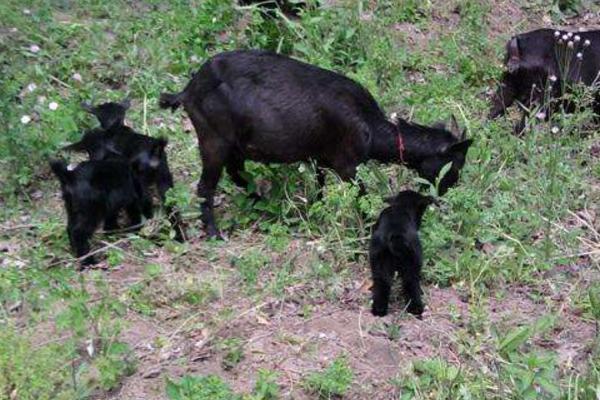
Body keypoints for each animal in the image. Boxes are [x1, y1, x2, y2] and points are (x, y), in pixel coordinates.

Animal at [63, 101, 185, 242]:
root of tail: (155, 150)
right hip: (164, 179)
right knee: (172, 204)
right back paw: (179, 236)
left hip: (141, 181)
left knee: (146, 203)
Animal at [161, 50, 474, 238]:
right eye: (455, 165)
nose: (444, 196)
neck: (371, 126)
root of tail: (188, 90)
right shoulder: (348, 164)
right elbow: (361, 195)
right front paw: (368, 228)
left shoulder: (318, 159)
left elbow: (320, 187)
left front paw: (316, 212)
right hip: (213, 137)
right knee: (205, 186)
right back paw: (214, 233)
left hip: (235, 144)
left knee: (237, 173)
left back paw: (265, 203)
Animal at [368, 189, 434, 318]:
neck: (402, 206)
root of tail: (396, 234)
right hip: (413, 262)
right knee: (411, 283)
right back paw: (416, 309)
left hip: (380, 262)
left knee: (382, 283)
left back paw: (379, 310)